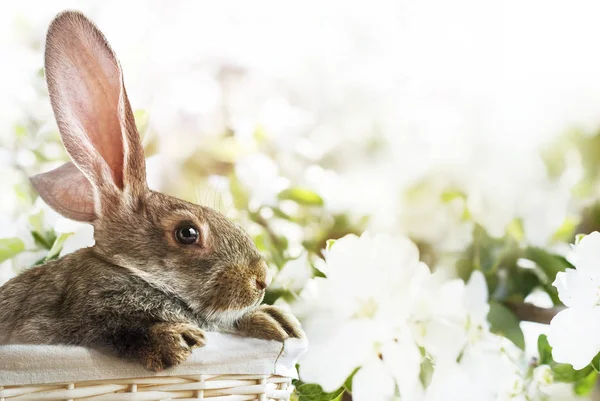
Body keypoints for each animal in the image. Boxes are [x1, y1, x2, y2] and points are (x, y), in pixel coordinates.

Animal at [0, 10, 302, 372]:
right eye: (187, 233)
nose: (260, 280)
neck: (133, 272)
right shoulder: (80, 314)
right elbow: (121, 331)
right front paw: (176, 341)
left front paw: (275, 321)